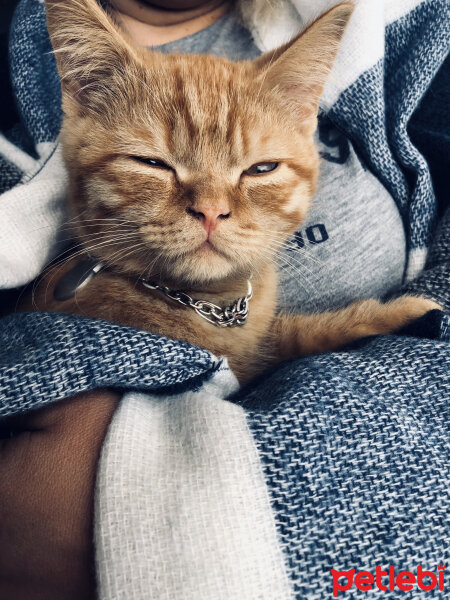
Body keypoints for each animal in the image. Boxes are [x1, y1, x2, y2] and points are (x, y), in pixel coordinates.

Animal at [31, 0, 440, 382]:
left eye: (261, 169)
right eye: (152, 163)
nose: (211, 212)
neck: (210, 306)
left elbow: (294, 337)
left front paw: (400, 315)